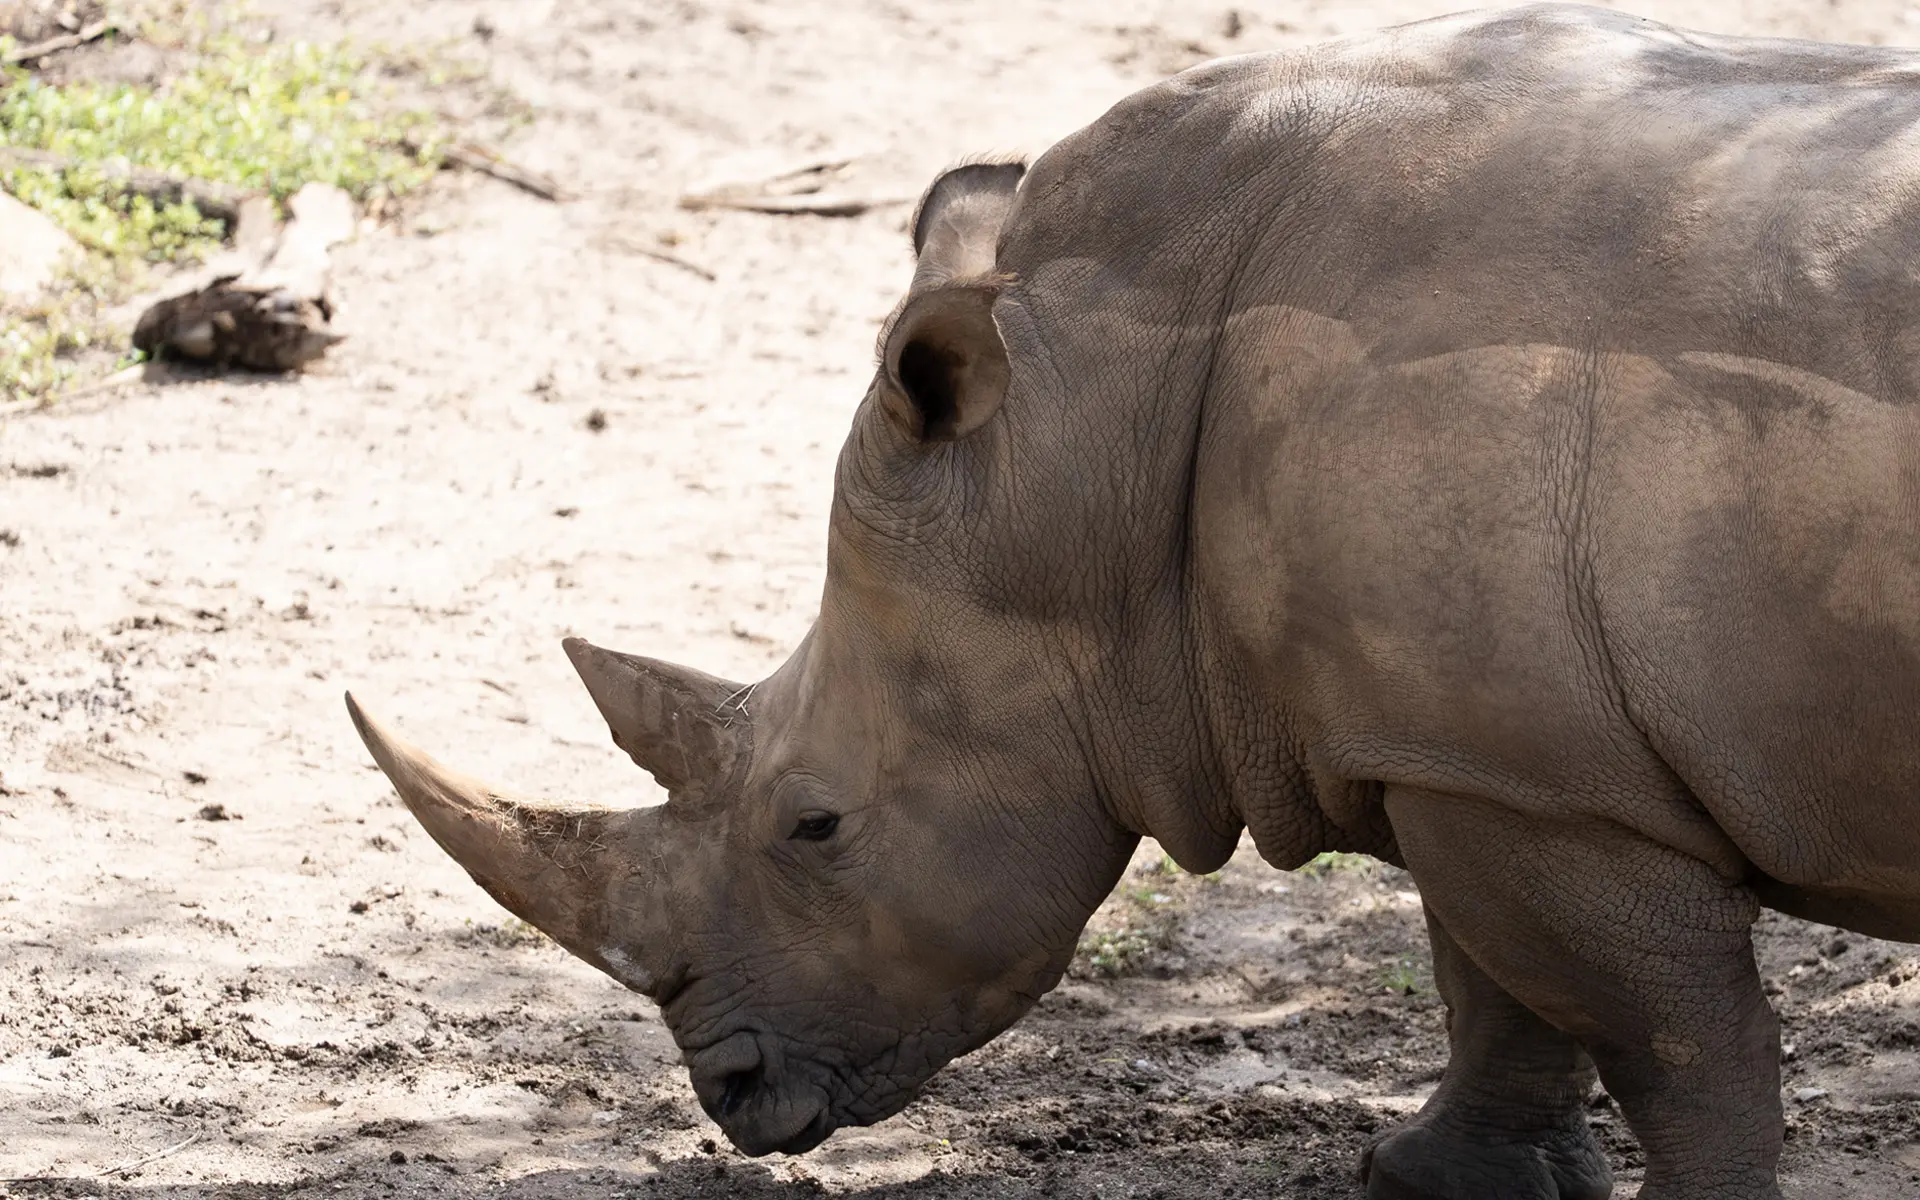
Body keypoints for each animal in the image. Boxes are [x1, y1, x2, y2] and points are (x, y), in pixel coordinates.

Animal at [345, 5, 1920, 1197]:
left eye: (817, 825)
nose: (732, 1092)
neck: (1084, 435)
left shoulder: (1533, 775)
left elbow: (1676, 1048)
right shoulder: (1457, 750)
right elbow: (1496, 985)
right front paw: (1438, 1184)